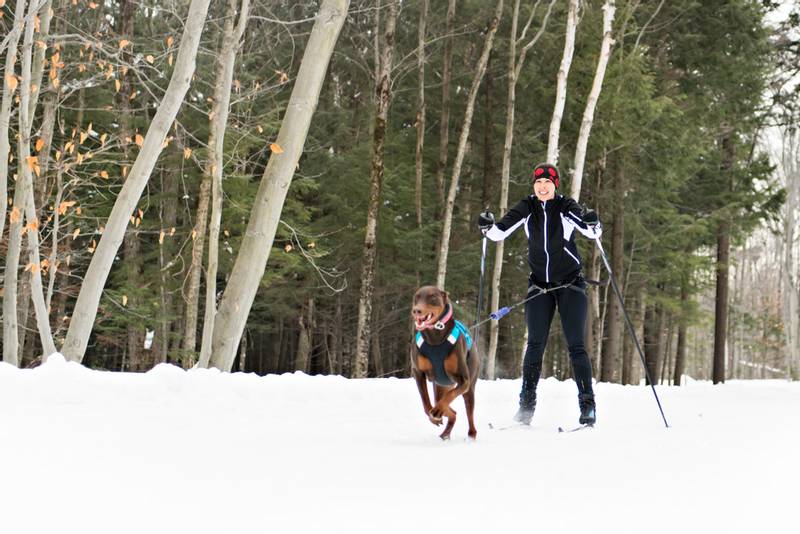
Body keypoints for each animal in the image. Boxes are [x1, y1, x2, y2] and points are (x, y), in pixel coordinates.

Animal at [410, 286, 478, 442]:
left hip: (469, 388)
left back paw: (471, 434)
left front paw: (438, 410)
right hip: (441, 385)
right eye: (416, 297)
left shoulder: (464, 380)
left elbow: (450, 396)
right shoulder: (418, 372)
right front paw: (434, 415)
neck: (435, 338)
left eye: (432, 297)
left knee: (468, 412)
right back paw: (445, 431)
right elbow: (425, 401)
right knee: (449, 409)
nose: (416, 310)